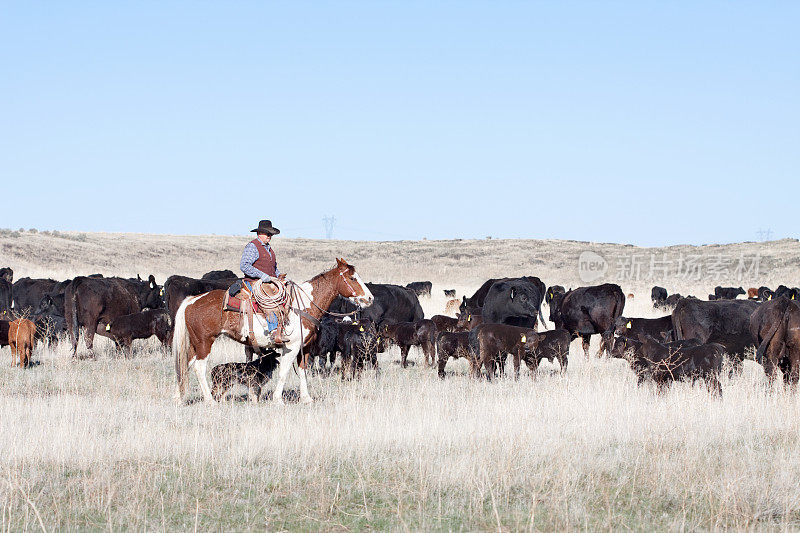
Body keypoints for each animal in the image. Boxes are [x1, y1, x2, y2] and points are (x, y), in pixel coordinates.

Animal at [173, 258, 374, 404]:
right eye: (353, 278)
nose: (370, 298)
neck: (303, 305)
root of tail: (192, 300)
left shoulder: (305, 348)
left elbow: (303, 371)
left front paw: (306, 398)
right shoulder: (291, 347)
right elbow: (284, 372)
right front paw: (278, 400)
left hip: (195, 343)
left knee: (185, 364)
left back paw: (179, 396)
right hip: (205, 342)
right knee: (199, 367)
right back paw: (209, 400)